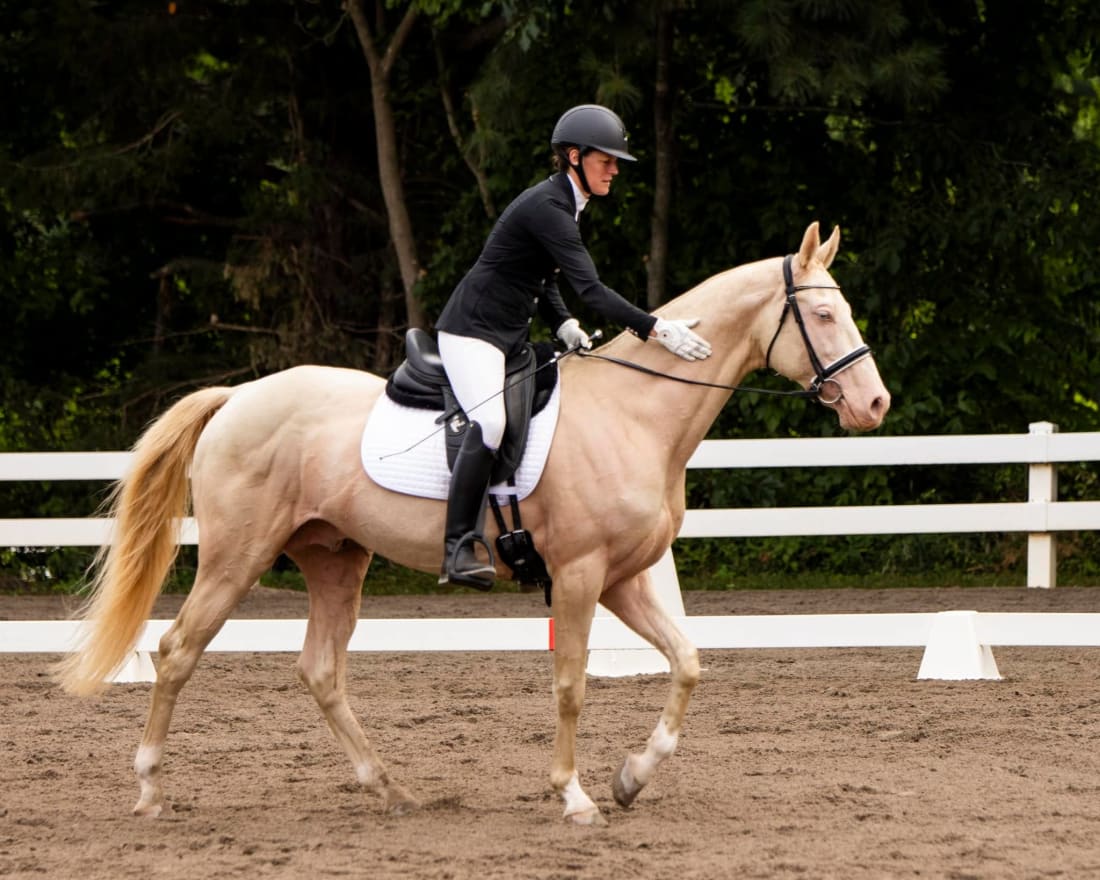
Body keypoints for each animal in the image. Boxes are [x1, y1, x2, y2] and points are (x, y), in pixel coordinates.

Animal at [57, 221, 890, 826]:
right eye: (822, 314)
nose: (874, 405)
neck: (635, 412)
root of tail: (236, 397)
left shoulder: (621, 578)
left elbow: (686, 662)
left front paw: (630, 778)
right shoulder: (581, 575)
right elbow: (571, 685)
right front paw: (575, 797)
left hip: (335, 558)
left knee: (321, 670)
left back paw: (388, 789)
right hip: (237, 558)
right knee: (176, 652)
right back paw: (150, 791)